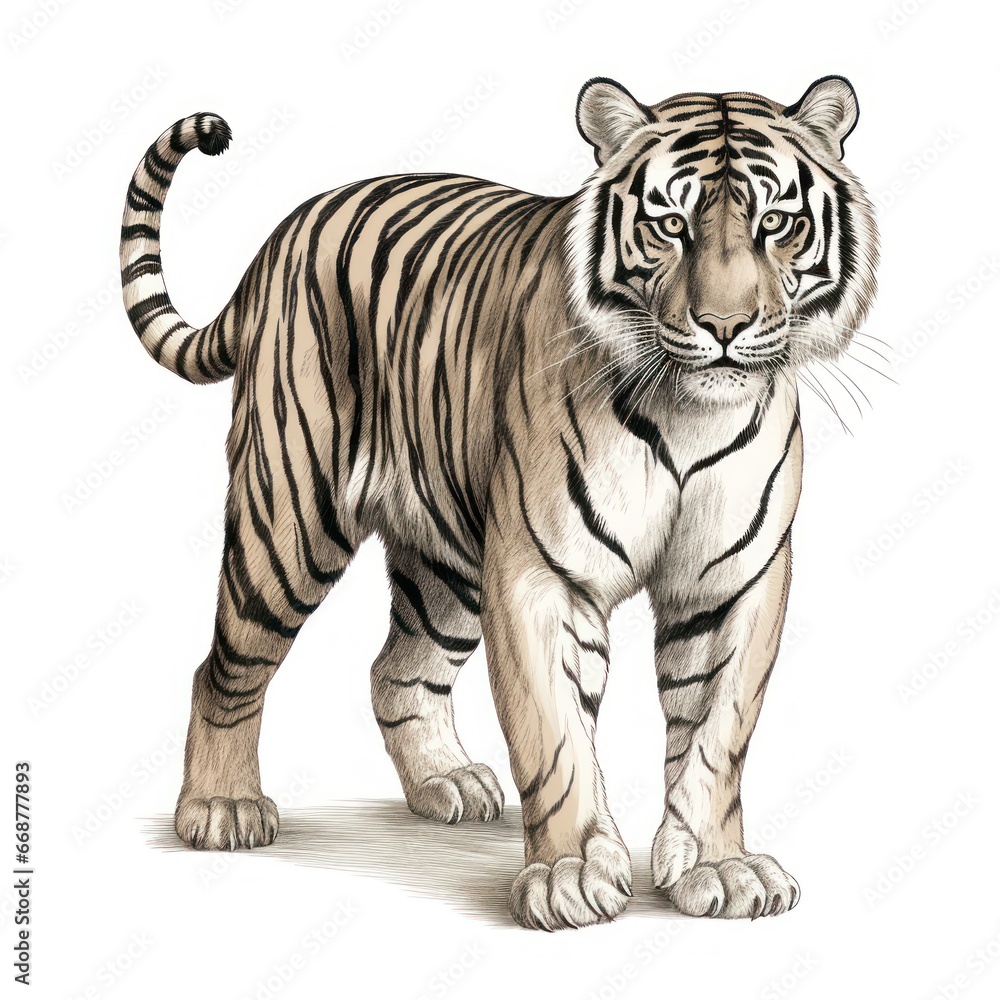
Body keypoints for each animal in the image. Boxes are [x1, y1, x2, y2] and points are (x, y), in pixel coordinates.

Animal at [119, 74, 878, 929]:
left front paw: (720, 867)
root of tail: (284, 233)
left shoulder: (731, 582)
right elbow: (554, 735)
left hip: (448, 560)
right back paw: (220, 808)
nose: (723, 325)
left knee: (397, 669)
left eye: (775, 223)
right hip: (289, 517)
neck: (689, 412)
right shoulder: (540, 574)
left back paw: (444, 782)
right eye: (669, 226)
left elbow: (716, 736)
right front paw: (570, 874)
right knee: (224, 666)